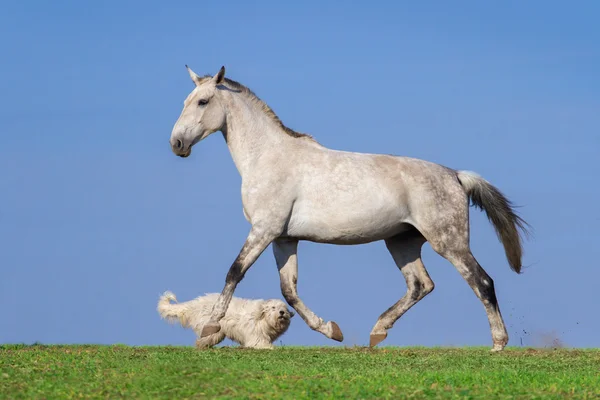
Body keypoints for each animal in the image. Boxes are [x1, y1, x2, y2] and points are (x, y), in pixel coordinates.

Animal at [157, 290, 292, 350]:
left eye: (284, 308)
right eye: (273, 307)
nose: (282, 312)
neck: (262, 318)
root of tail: (196, 303)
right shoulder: (255, 336)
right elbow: (260, 344)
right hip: (212, 328)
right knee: (202, 340)